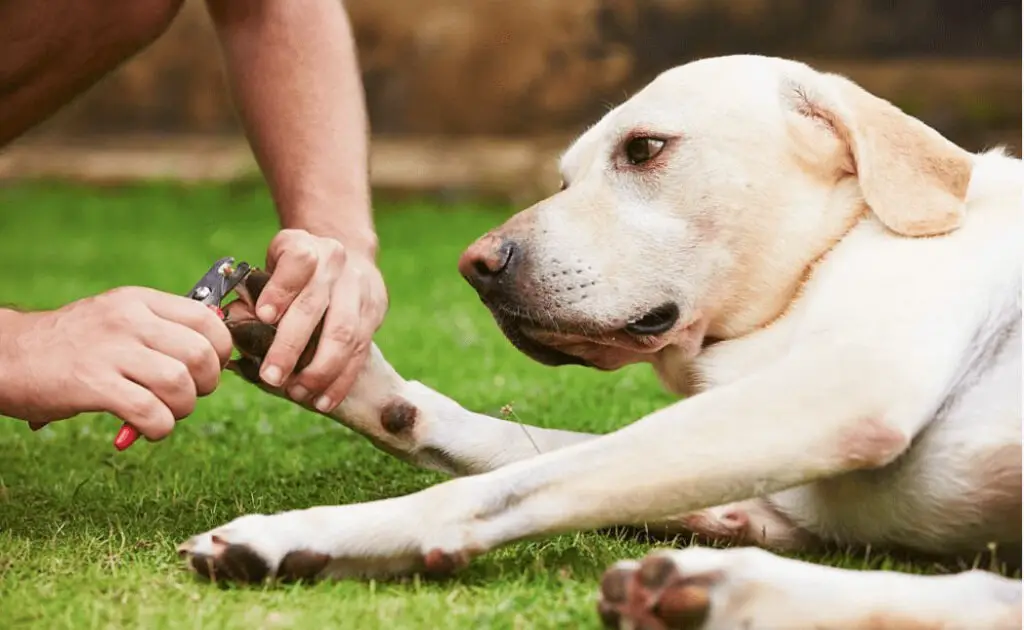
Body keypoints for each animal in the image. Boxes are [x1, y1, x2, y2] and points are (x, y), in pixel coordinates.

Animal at [178, 56, 1024, 626]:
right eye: (562, 180)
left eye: (644, 149)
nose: (476, 266)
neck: (823, 256)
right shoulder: (778, 488)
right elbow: (503, 446)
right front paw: (349, 374)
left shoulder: (843, 392)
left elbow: (500, 485)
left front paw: (305, 532)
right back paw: (709, 590)